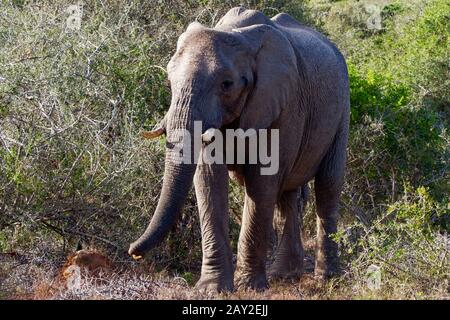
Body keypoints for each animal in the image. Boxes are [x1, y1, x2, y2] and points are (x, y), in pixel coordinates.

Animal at [128, 7, 350, 292]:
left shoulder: (284, 103)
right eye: (169, 82)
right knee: (288, 195)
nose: (133, 252)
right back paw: (284, 276)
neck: (236, 35)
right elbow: (209, 180)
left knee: (327, 186)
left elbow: (262, 182)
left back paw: (327, 278)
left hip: (342, 108)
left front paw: (249, 288)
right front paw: (212, 289)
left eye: (226, 84)